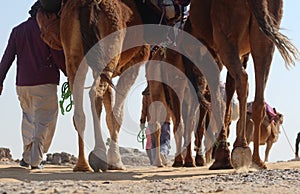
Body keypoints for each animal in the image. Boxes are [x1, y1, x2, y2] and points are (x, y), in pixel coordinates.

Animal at [186, 0, 298, 170]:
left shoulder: (212, 50)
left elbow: (219, 95)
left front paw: (222, 156)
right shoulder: (242, 53)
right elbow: (229, 87)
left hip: (226, 35)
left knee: (242, 78)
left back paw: (239, 148)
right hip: (266, 37)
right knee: (256, 90)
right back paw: (256, 159)